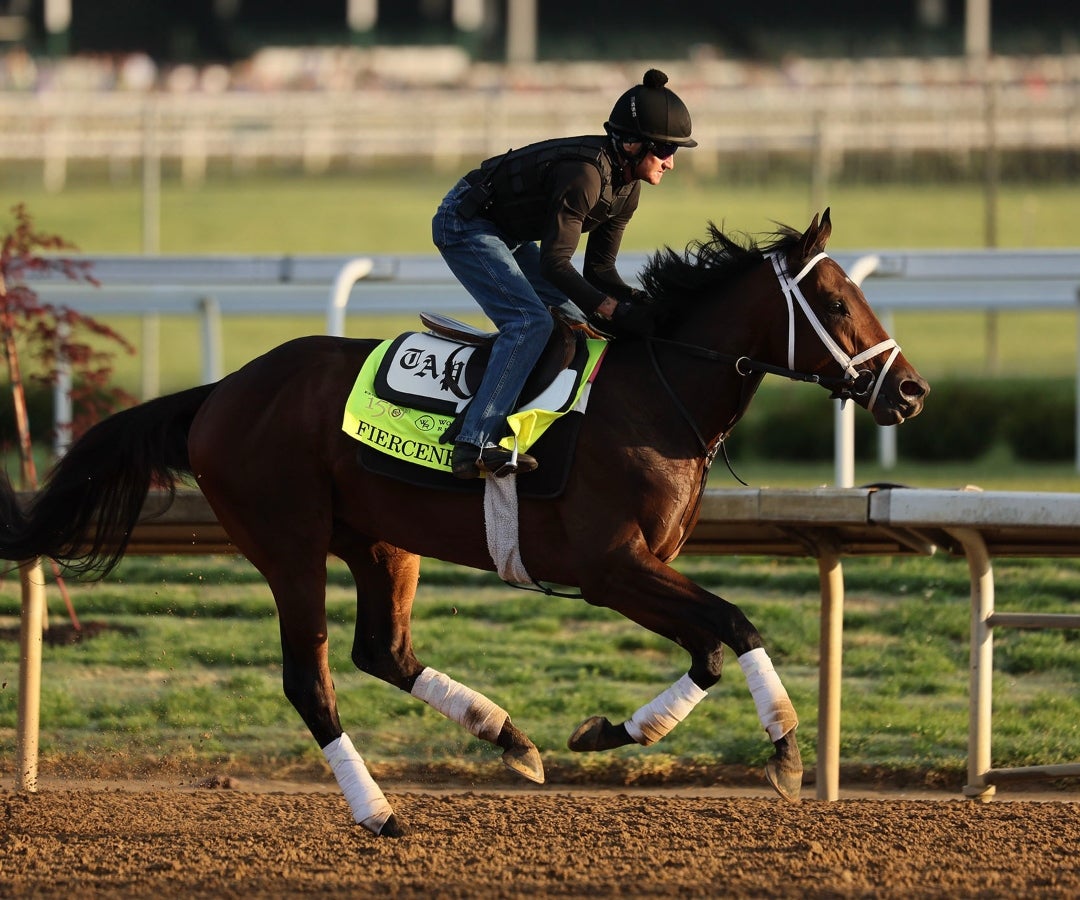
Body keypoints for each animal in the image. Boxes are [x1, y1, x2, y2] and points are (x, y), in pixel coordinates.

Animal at [0, 209, 927, 837]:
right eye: (835, 302)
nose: (911, 392)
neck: (656, 397)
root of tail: (220, 392)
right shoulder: (611, 568)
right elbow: (734, 624)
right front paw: (785, 749)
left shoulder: (639, 570)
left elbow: (708, 648)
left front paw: (607, 732)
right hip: (288, 543)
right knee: (313, 679)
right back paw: (377, 812)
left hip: (380, 541)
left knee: (384, 651)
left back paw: (508, 735)